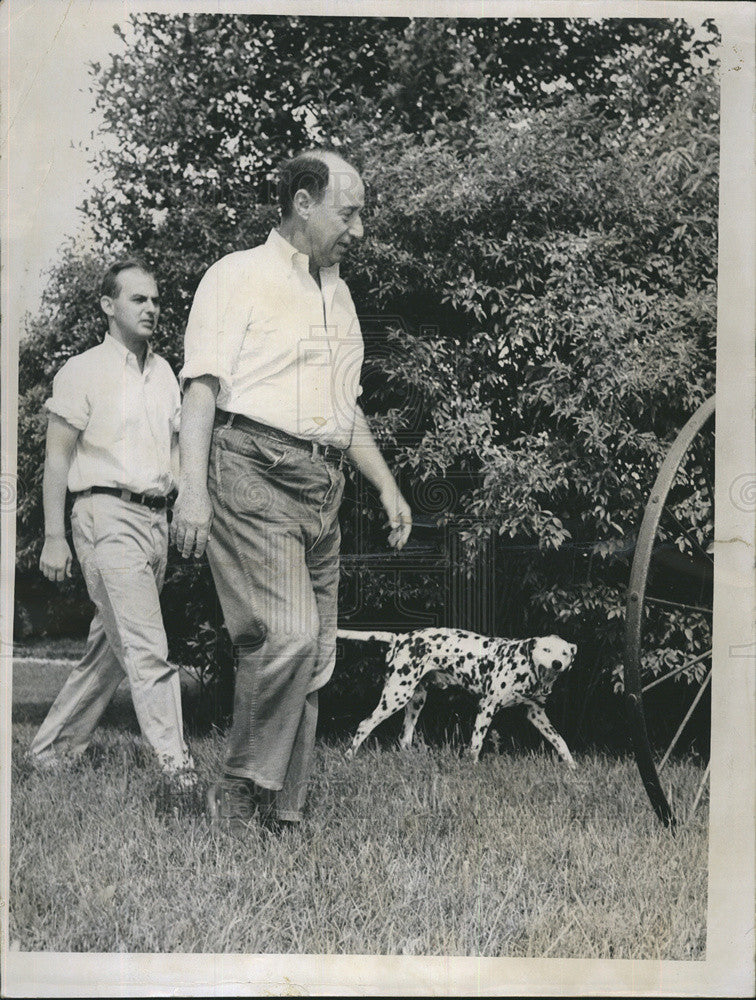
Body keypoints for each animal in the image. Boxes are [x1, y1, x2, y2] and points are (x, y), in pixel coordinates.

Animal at [338, 628, 580, 768]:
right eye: (546, 650)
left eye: (565, 653)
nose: (557, 663)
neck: (525, 668)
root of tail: (401, 638)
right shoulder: (486, 708)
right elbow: (476, 745)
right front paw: (471, 768)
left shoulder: (536, 714)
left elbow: (560, 741)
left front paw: (572, 767)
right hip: (396, 696)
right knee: (364, 725)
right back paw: (348, 758)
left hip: (416, 701)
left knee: (404, 738)